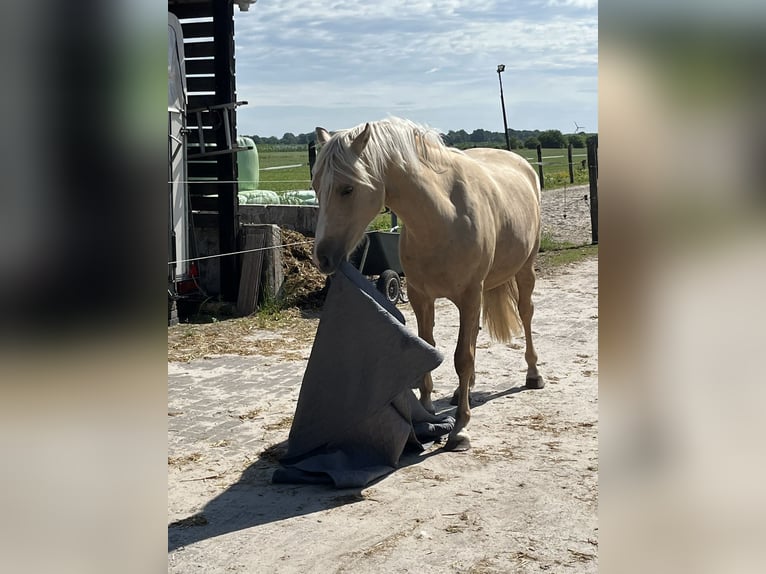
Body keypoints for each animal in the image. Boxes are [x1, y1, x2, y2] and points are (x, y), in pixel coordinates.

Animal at [311, 117, 543, 451]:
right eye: (316, 186)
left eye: (348, 189)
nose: (323, 257)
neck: (443, 216)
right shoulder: (421, 297)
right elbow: (428, 350)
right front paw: (427, 412)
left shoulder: (469, 295)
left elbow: (462, 358)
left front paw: (460, 429)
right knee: (475, 333)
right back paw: (462, 393)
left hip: (524, 270)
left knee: (525, 314)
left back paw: (533, 374)